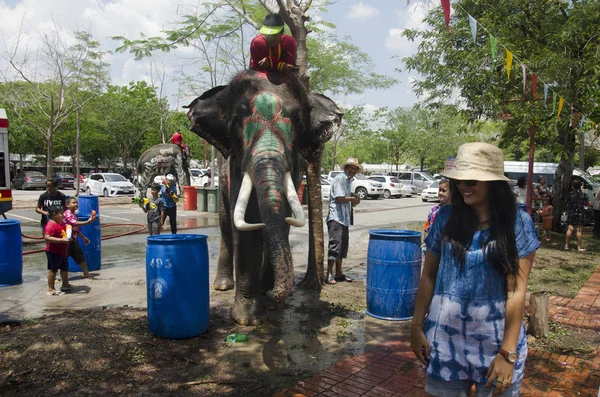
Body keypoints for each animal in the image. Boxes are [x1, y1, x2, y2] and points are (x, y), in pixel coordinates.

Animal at [185, 69, 340, 324]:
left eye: (299, 123)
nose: (272, 299)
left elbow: (283, 219)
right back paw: (223, 286)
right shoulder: (236, 167)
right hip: (221, 181)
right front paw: (247, 319)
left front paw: (268, 294)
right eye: (235, 122)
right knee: (226, 225)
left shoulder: (295, 168)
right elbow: (246, 223)